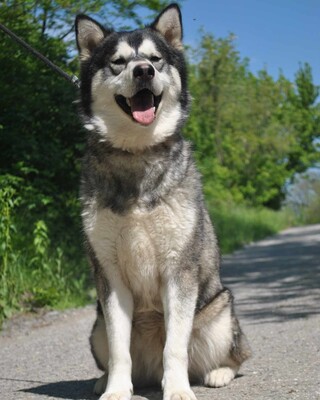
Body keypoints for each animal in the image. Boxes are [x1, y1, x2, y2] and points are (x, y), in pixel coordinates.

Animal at [75, 3, 250, 400]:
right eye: (118, 61)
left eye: (155, 59)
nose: (143, 71)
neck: (138, 154)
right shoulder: (109, 277)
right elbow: (120, 349)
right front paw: (116, 391)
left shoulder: (179, 270)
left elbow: (176, 347)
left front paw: (179, 391)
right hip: (95, 325)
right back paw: (103, 381)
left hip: (221, 310)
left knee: (235, 356)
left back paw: (218, 372)